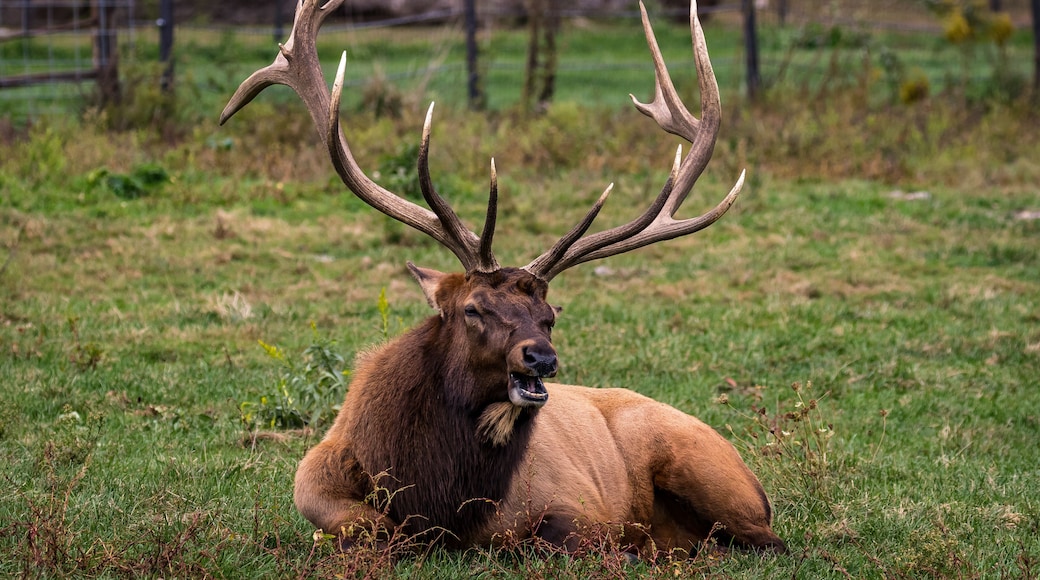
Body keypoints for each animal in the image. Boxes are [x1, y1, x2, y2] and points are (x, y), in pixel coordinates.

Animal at [221, 0, 786, 557]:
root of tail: (753, 479)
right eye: (473, 309)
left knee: (764, 539)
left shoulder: (578, 506)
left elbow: (549, 537)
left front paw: (627, 546)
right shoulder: (315, 485)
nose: (541, 358)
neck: (437, 502)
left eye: (549, 316)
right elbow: (368, 528)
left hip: (706, 469)